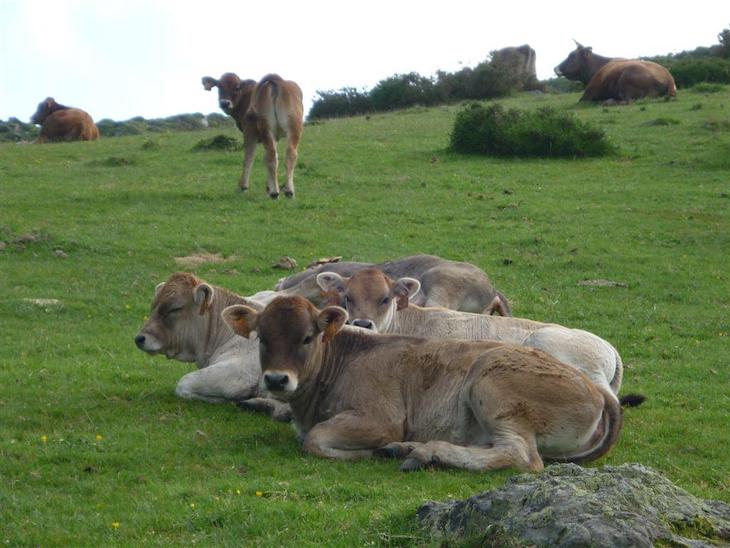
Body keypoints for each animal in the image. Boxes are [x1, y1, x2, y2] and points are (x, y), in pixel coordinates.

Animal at [221, 296, 623, 472]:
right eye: (262, 338)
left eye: (307, 337)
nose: (276, 379)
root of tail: (598, 392)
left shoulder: (379, 419)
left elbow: (316, 441)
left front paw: (369, 451)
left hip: (492, 383)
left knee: (520, 456)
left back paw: (423, 452)